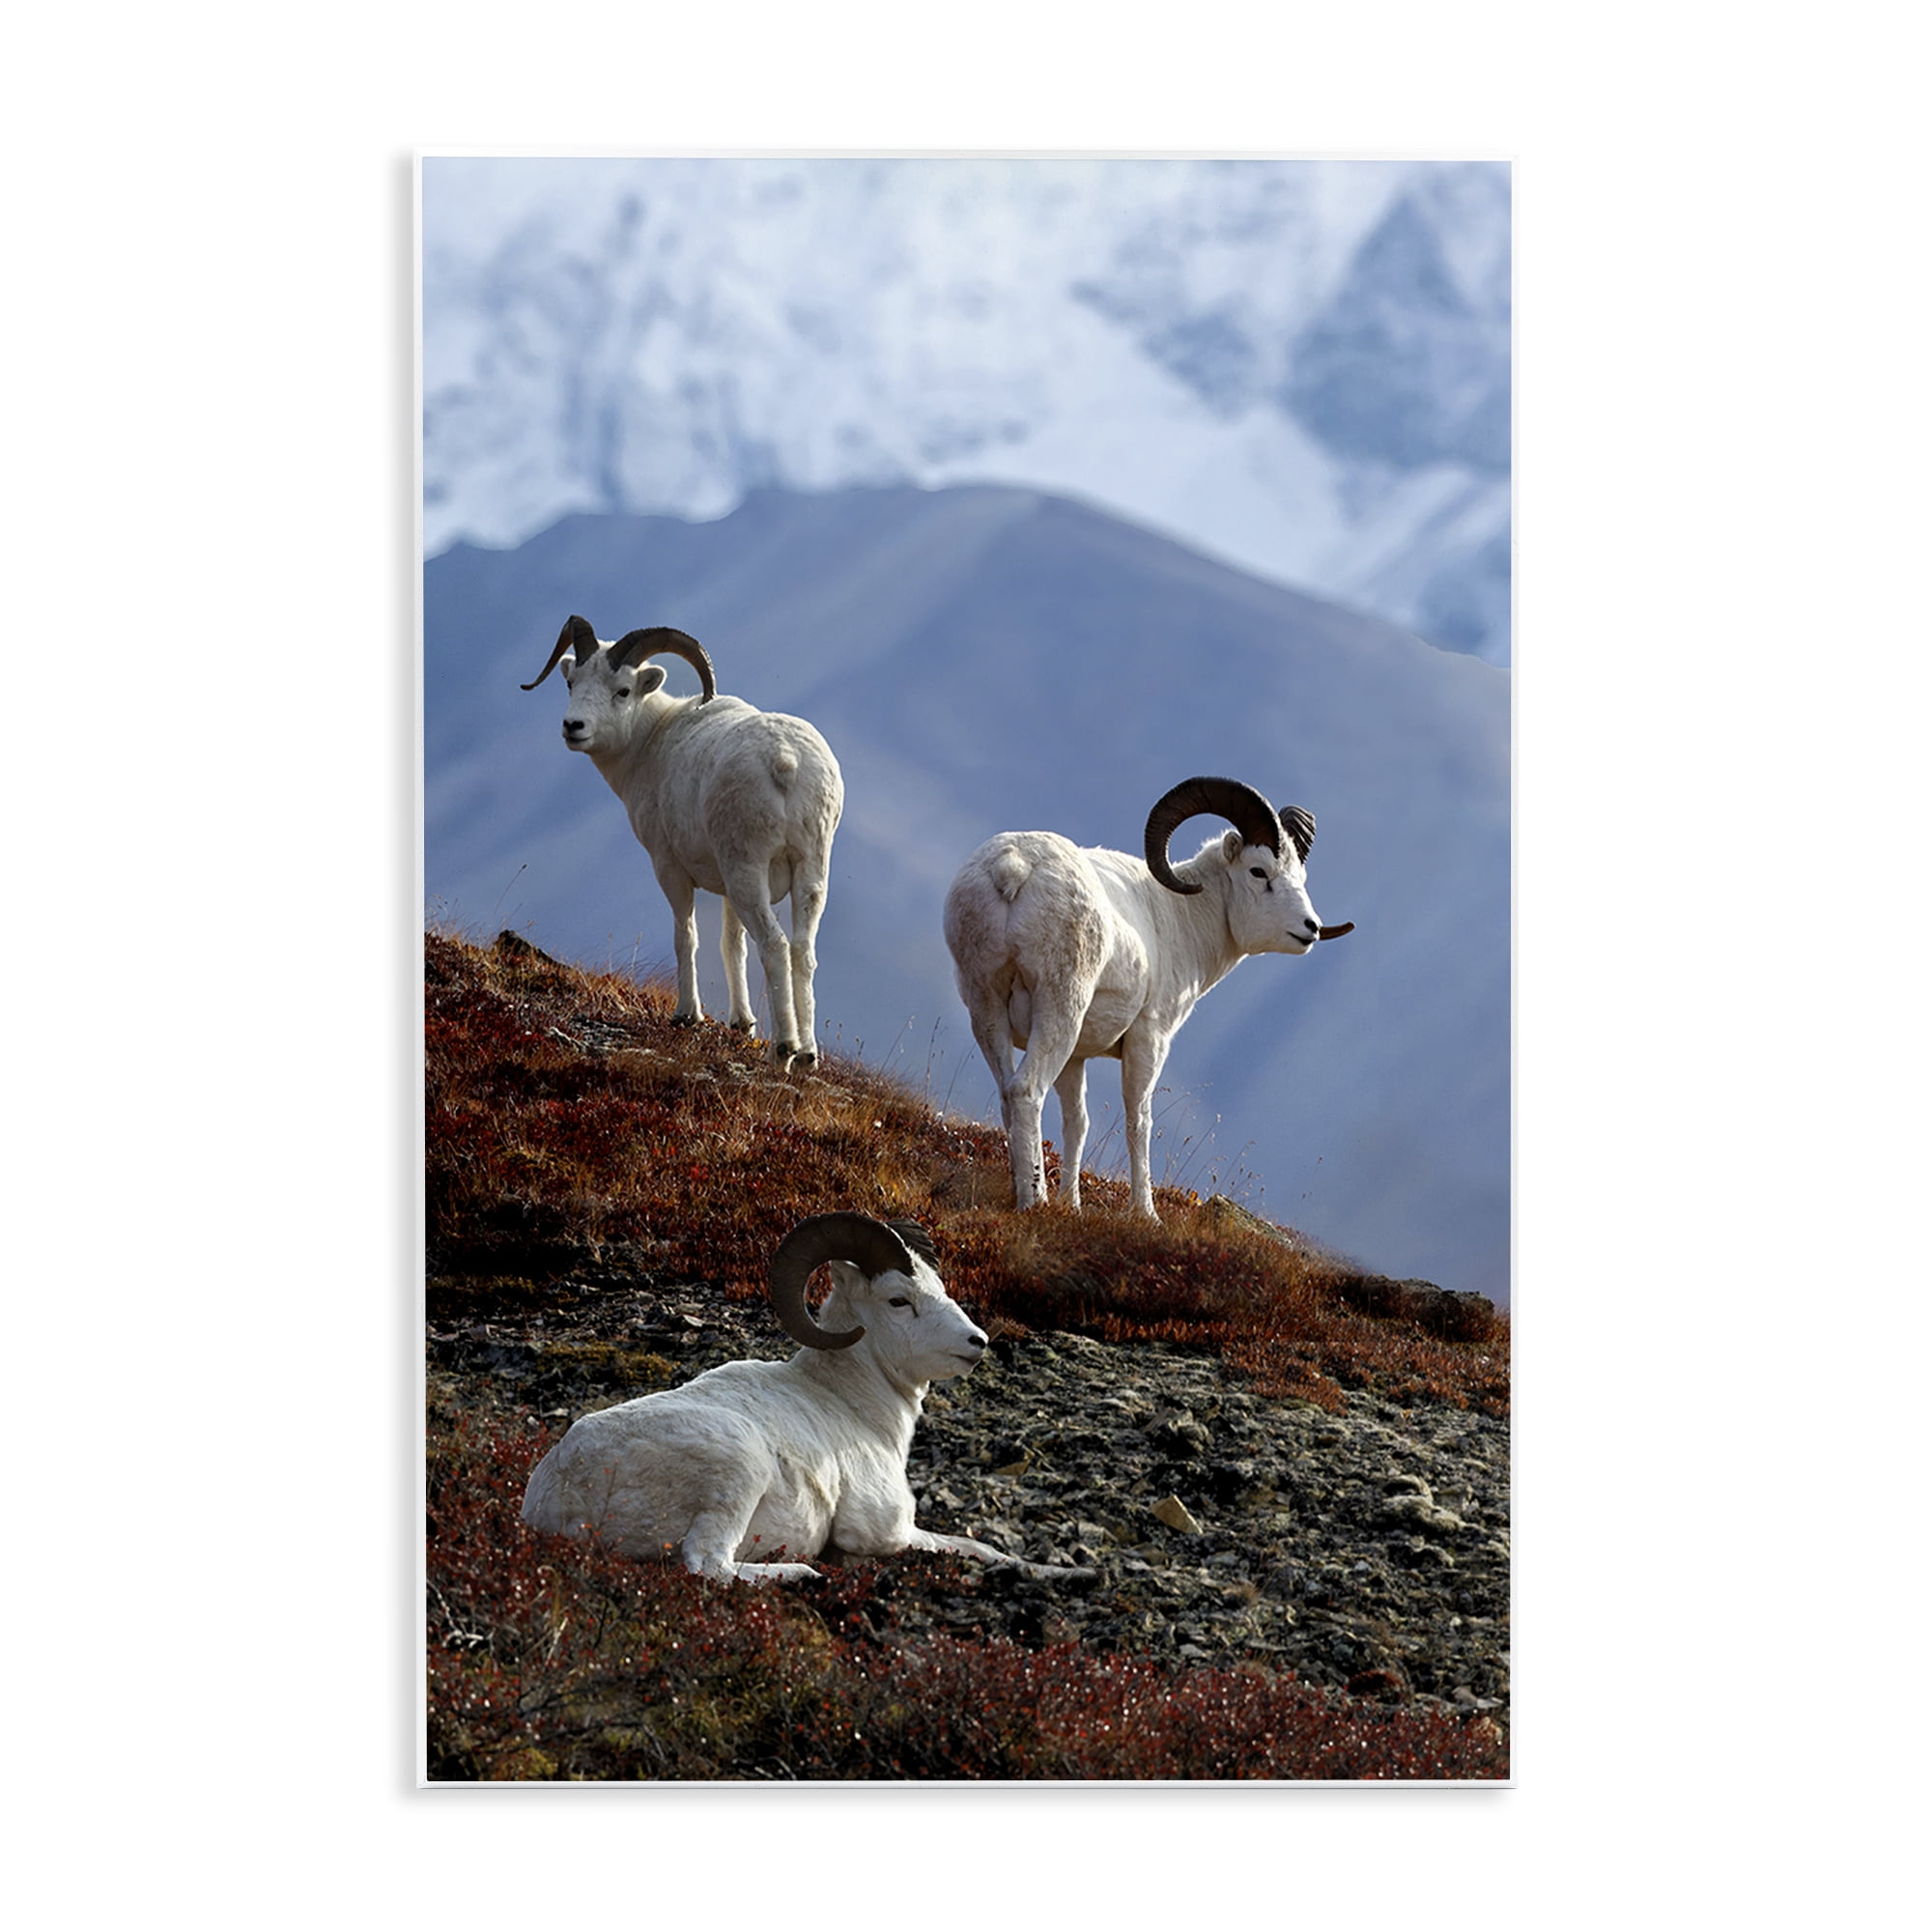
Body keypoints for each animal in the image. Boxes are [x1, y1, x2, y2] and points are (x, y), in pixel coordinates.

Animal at [521, 1213, 1087, 1584]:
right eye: (898, 1300)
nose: (977, 1342)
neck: (854, 1407)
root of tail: (562, 1499)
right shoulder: (885, 1532)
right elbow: (978, 1546)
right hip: (738, 1470)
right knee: (708, 1566)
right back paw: (802, 1572)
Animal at [523, 615, 842, 1067]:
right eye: (572, 682)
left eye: (622, 690)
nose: (574, 728)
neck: (650, 744)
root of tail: (785, 761)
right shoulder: (726, 888)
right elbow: (732, 945)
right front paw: (742, 1024)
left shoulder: (669, 868)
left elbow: (685, 937)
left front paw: (687, 1016)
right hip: (809, 873)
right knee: (802, 950)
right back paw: (808, 1055)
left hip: (748, 872)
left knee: (775, 946)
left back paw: (783, 1051)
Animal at [942, 775, 1355, 1220]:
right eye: (1259, 871)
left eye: (1301, 875)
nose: (1310, 928)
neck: (1182, 918)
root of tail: (1015, 867)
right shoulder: (1149, 1039)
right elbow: (1139, 1121)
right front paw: (1145, 1214)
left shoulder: (1077, 1057)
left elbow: (1077, 1123)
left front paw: (1073, 1206)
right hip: (1059, 1010)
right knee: (1026, 1090)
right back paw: (1034, 1201)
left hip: (986, 1006)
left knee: (1007, 1093)